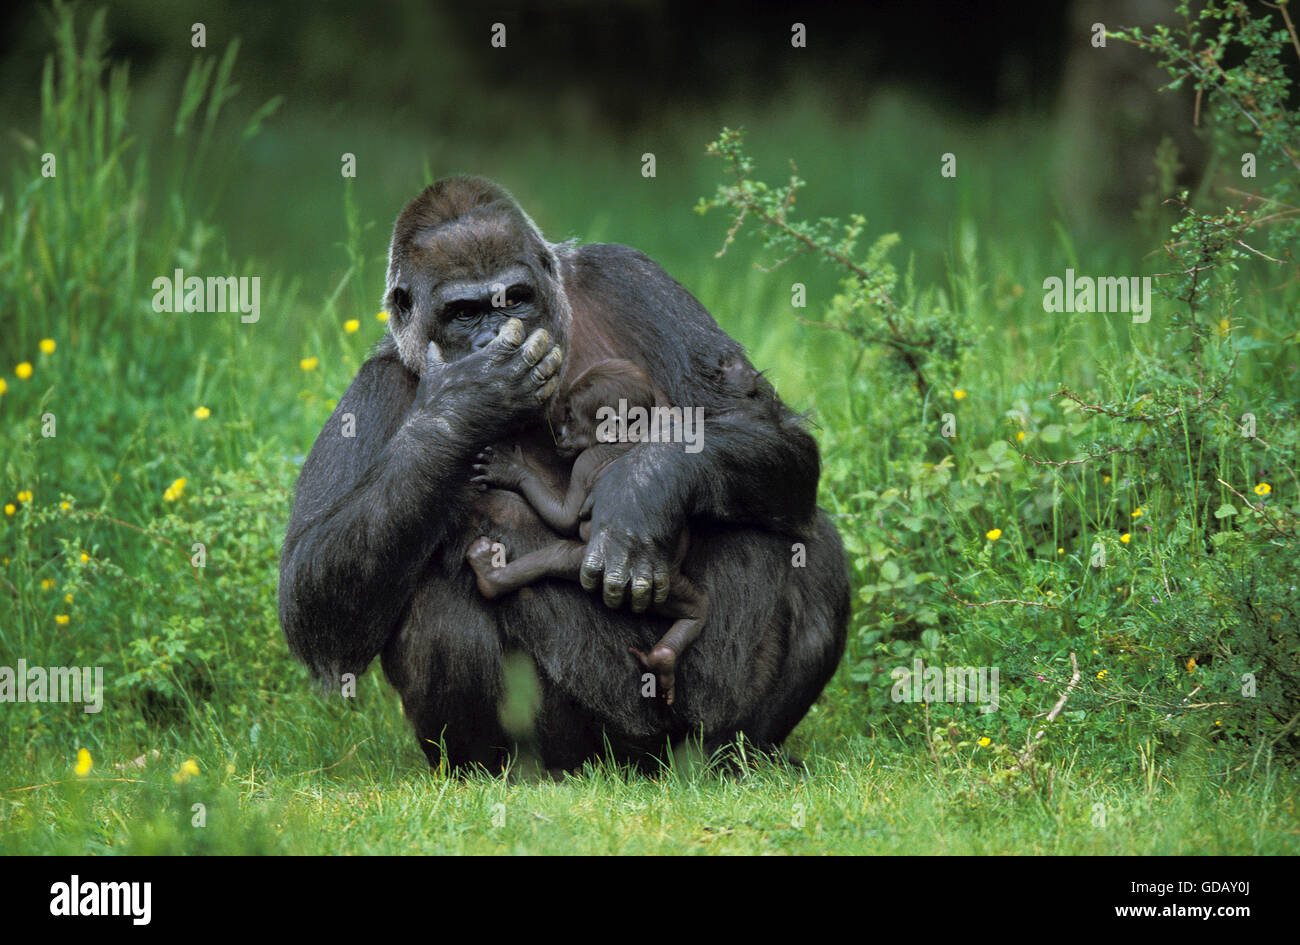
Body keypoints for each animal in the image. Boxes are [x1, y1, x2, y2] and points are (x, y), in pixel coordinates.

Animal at [467, 358, 707, 707]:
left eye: (570, 417)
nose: (561, 433)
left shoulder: (585, 460)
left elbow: (566, 518)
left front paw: (513, 471)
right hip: (665, 586)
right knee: (698, 609)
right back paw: (664, 657)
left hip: (596, 567)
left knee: (556, 556)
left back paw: (490, 577)